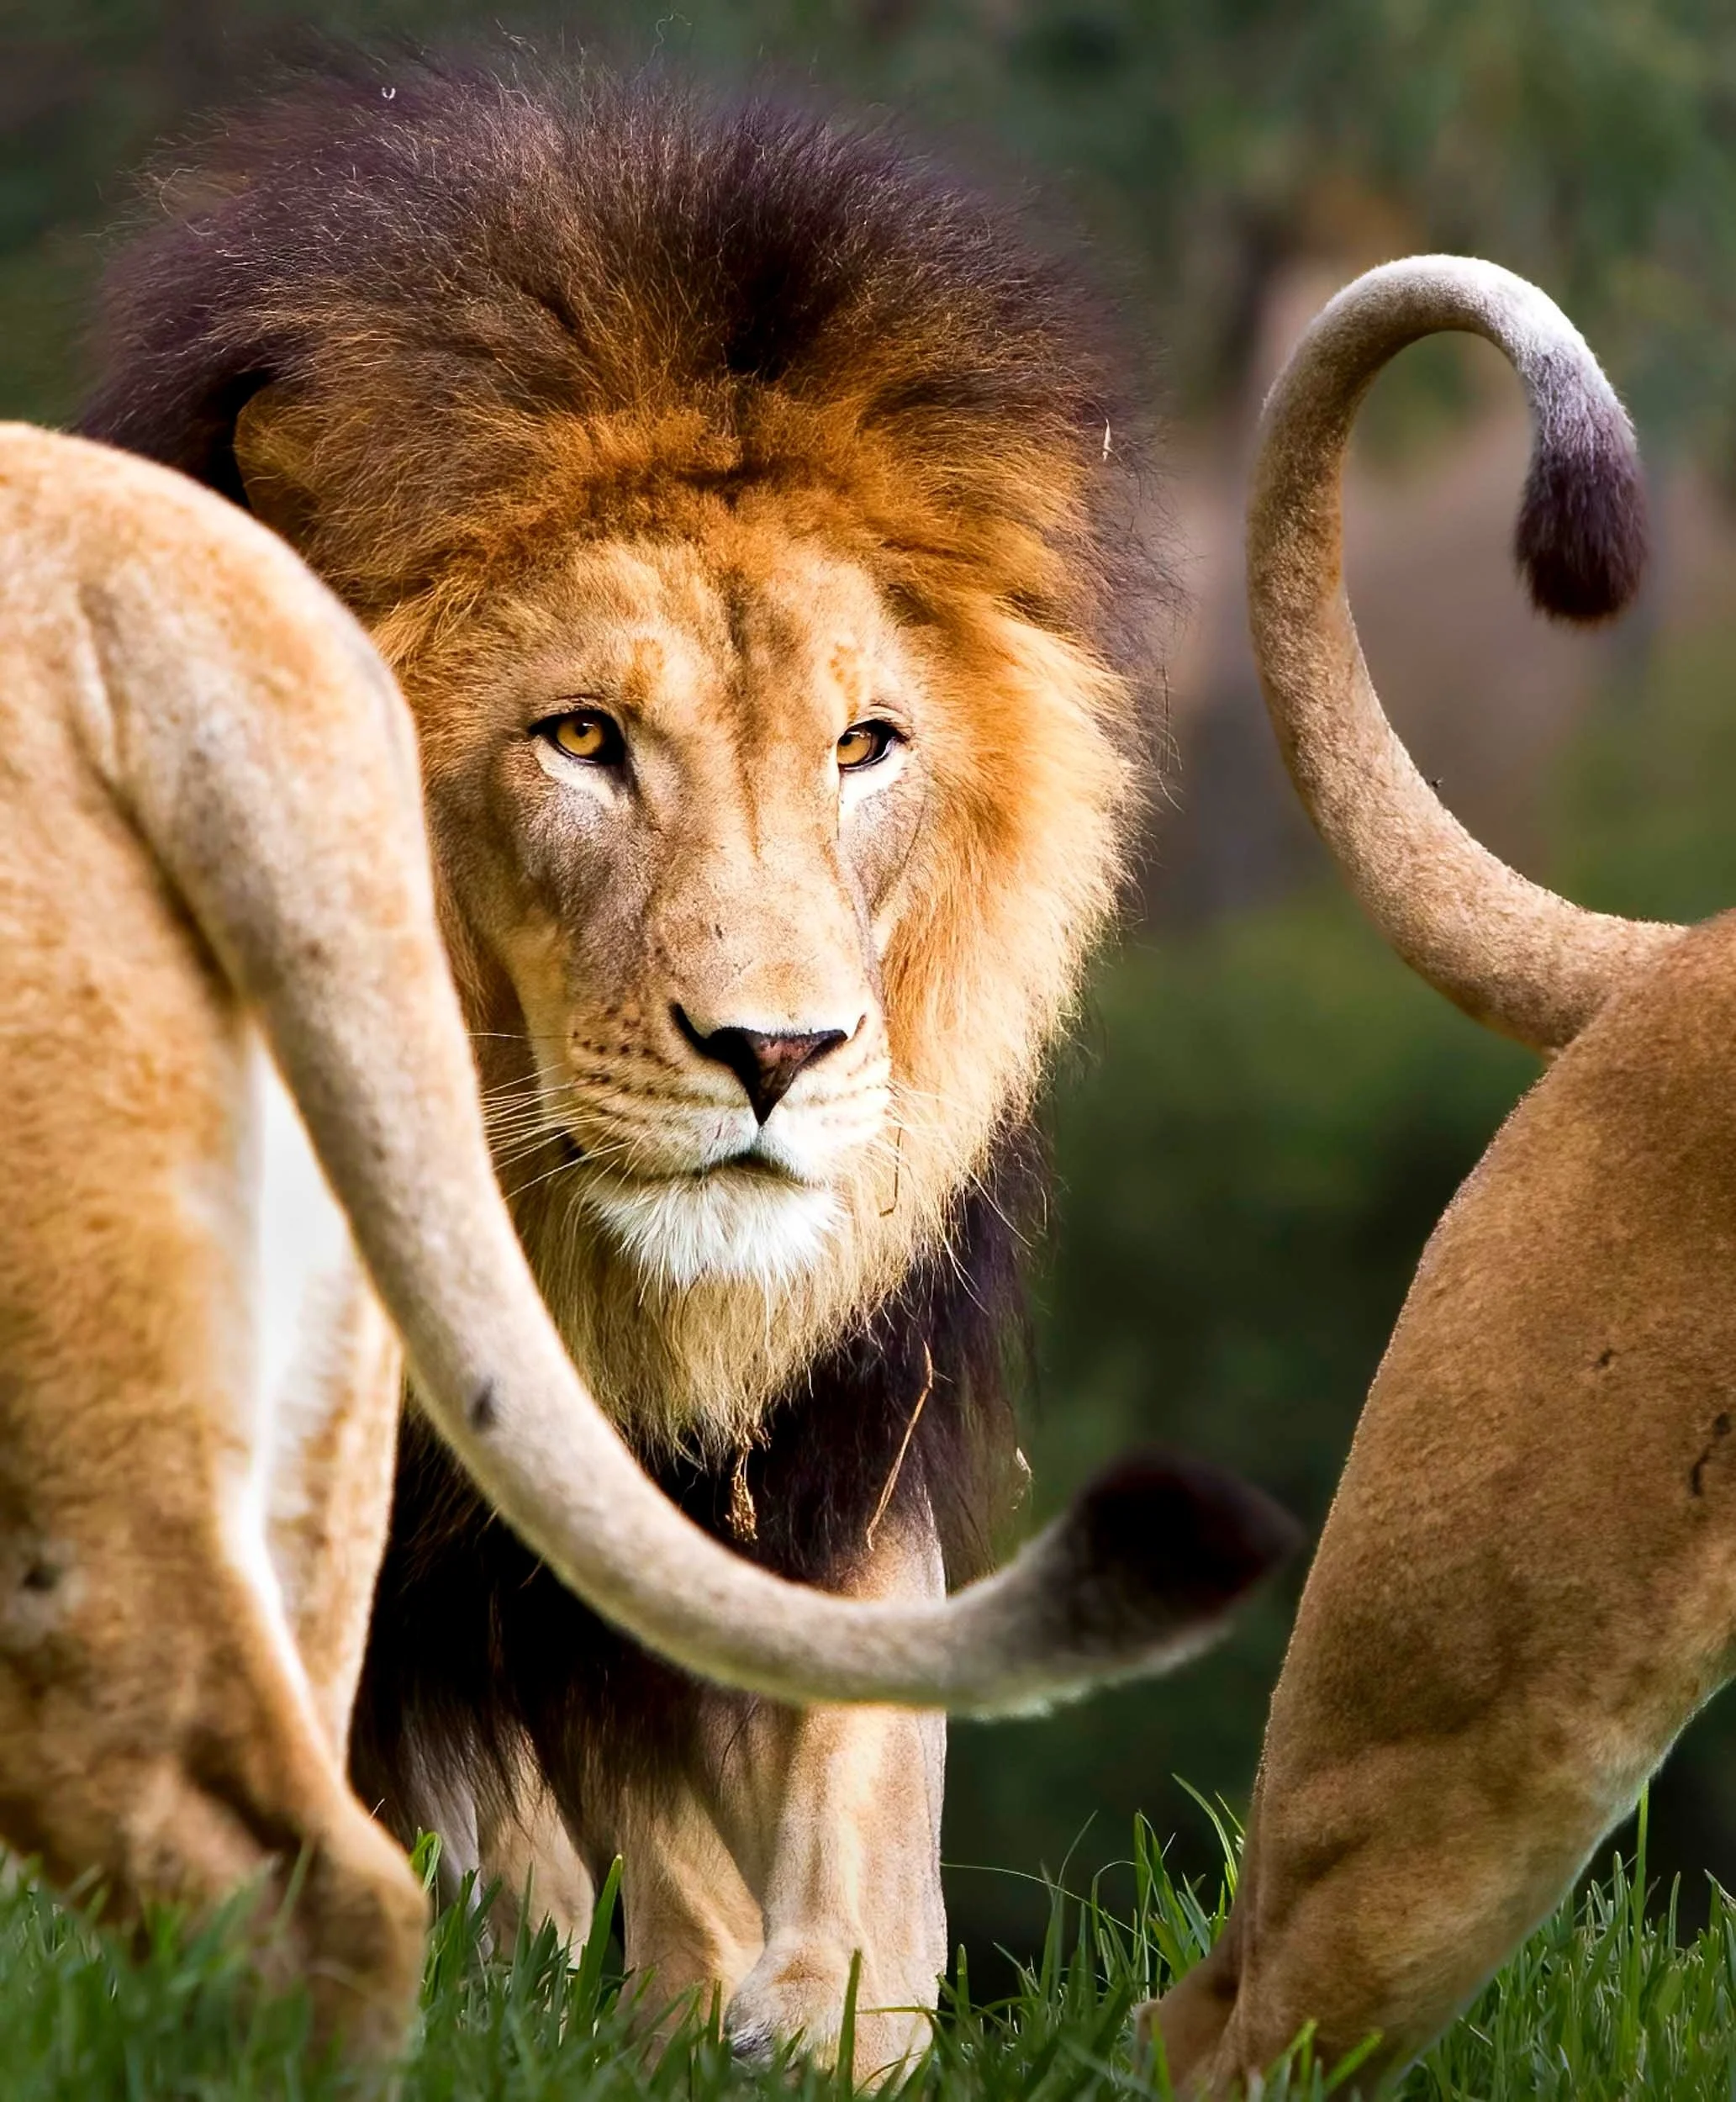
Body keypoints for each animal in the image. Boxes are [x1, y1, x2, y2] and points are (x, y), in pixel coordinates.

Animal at [70, 59, 1303, 2071]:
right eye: (580, 739)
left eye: (864, 743)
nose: (777, 1051)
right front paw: (695, 1986)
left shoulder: (856, 1384)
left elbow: (864, 1708)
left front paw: (844, 2001)